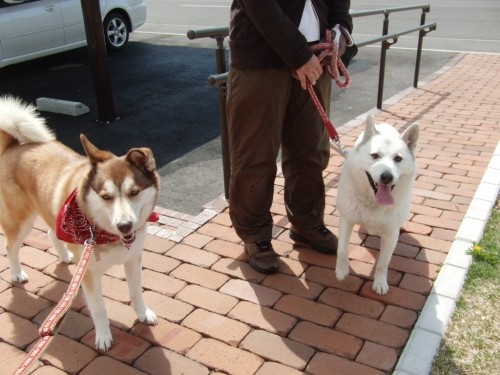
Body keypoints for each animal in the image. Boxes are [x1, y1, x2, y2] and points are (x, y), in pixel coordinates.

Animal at [0, 97, 159, 352]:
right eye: (106, 196)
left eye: (134, 192)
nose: (125, 225)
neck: (107, 234)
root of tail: (14, 144)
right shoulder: (90, 276)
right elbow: (99, 309)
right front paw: (103, 337)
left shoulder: (133, 259)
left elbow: (136, 291)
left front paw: (143, 313)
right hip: (20, 220)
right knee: (10, 246)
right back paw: (16, 273)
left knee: (50, 232)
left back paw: (65, 256)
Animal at [334, 116, 420, 296]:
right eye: (374, 155)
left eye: (398, 159)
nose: (387, 177)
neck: (373, 201)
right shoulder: (346, 219)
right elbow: (342, 249)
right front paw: (342, 271)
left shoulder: (391, 234)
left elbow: (383, 263)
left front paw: (380, 283)